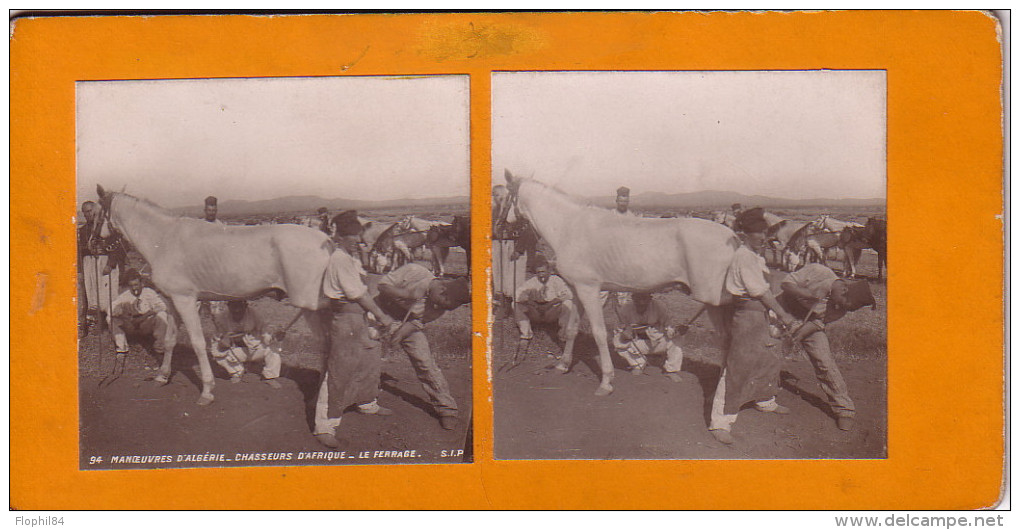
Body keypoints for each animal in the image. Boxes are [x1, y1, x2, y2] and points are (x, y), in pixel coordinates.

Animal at [95, 186, 330, 405]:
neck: (164, 240)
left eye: (96, 214)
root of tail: (326, 241)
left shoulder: (186, 300)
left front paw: (207, 390)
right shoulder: (172, 302)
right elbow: (170, 340)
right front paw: (162, 376)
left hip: (313, 308)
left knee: (327, 346)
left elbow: (199, 343)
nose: (92, 244)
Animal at [503, 170, 738, 393]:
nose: (500, 228)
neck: (569, 228)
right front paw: (563, 365)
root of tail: (733, 238)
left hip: (715, 303)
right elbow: (572, 328)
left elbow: (599, 333)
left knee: (726, 339)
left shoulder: (589, 290)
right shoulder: (577, 291)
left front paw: (606, 381)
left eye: (503, 197)